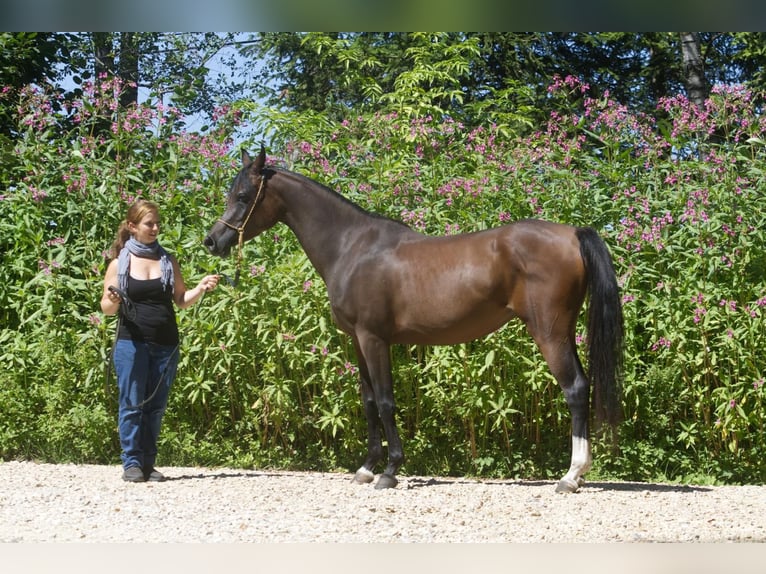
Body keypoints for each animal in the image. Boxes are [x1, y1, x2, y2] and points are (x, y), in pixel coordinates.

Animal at [204, 146, 624, 492]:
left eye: (243, 196)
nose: (212, 241)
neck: (351, 247)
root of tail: (572, 233)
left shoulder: (374, 338)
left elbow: (386, 401)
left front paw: (390, 472)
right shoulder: (357, 340)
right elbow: (368, 401)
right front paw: (366, 468)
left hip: (548, 332)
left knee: (575, 389)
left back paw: (571, 476)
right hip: (563, 330)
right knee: (582, 385)